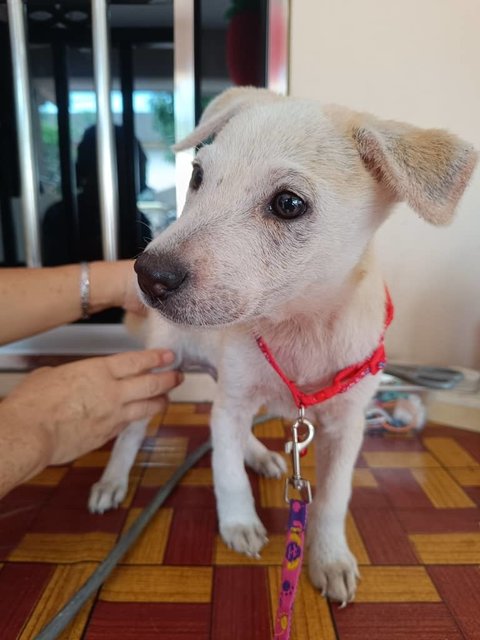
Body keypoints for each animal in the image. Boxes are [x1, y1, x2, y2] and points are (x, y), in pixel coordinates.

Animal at [89, 87, 476, 604]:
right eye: (197, 176)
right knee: (135, 433)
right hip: (162, 368)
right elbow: (226, 472)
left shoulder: (346, 424)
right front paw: (239, 524)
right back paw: (113, 481)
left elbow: (332, 498)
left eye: (289, 204)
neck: (299, 325)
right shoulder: (233, 400)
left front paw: (329, 559)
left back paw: (260, 454)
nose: (149, 276)